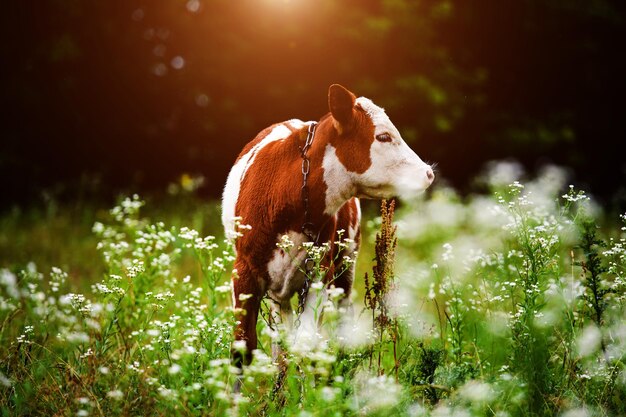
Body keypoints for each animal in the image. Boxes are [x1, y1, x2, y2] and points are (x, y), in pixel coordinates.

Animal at [221, 84, 434, 368]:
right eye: (383, 136)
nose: (428, 173)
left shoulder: (320, 272)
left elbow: (307, 343)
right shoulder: (243, 272)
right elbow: (242, 348)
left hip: (347, 265)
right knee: (281, 339)